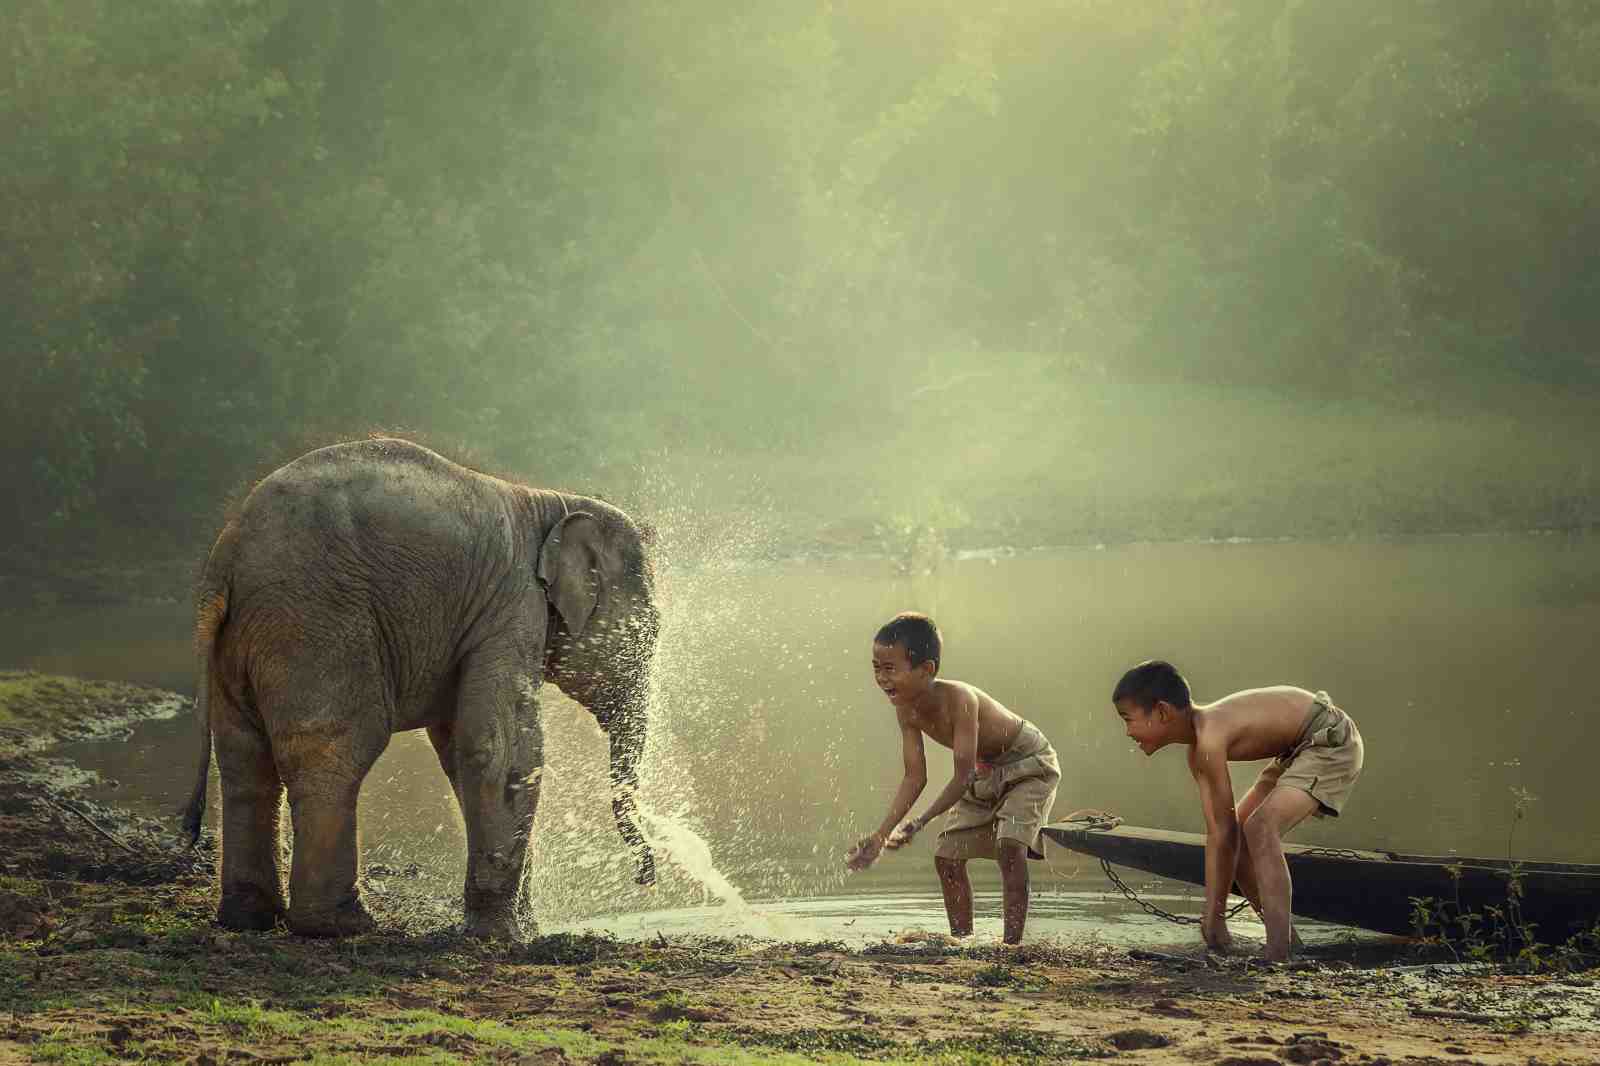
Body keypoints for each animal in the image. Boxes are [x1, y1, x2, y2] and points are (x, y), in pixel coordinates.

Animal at [180, 437, 660, 938]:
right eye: (649, 633)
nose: (647, 877)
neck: (552, 503)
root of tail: (226, 557)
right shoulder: (512, 606)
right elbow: (501, 750)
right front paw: (508, 936)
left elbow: (459, 750)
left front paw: (518, 927)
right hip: (316, 626)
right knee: (335, 752)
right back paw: (342, 924)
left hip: (241, 644)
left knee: (243, 760)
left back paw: (248, 919)